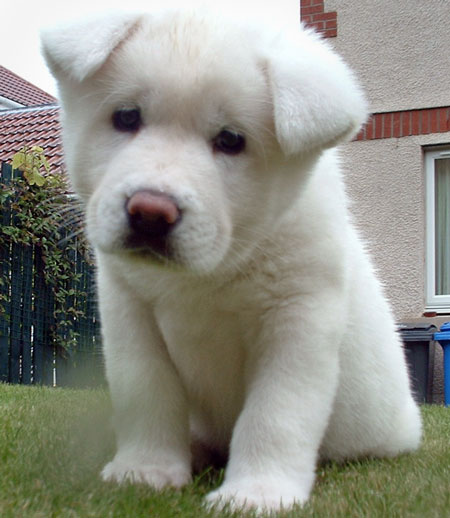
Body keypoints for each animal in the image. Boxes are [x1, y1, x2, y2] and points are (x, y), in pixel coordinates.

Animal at [41, 6, 422, 512]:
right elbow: (146, 390)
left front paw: (257, 494)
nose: (150, 213)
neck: (210, 272)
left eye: (230, 140)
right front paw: (145, 470)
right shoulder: (129, 309)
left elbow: (275, 413)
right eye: (126, 117)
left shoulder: (298, 319)